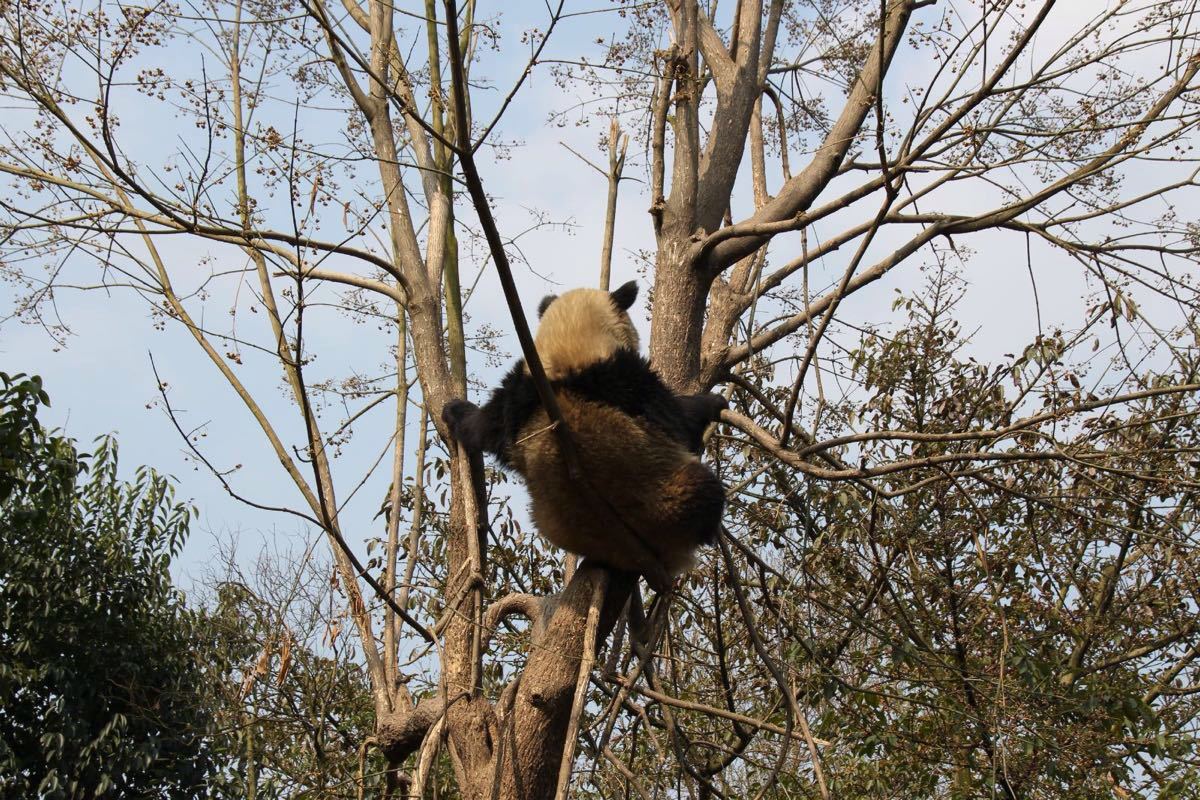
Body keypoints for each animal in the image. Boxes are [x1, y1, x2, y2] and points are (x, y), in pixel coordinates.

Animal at [441, 281, 720, 587]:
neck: (563, 354)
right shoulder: (624, 379)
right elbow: (676, 422)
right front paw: (709, 404)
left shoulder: (517, 391)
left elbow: (484, 426)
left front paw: (455, 412)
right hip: (667, 502)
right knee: (707, 494)